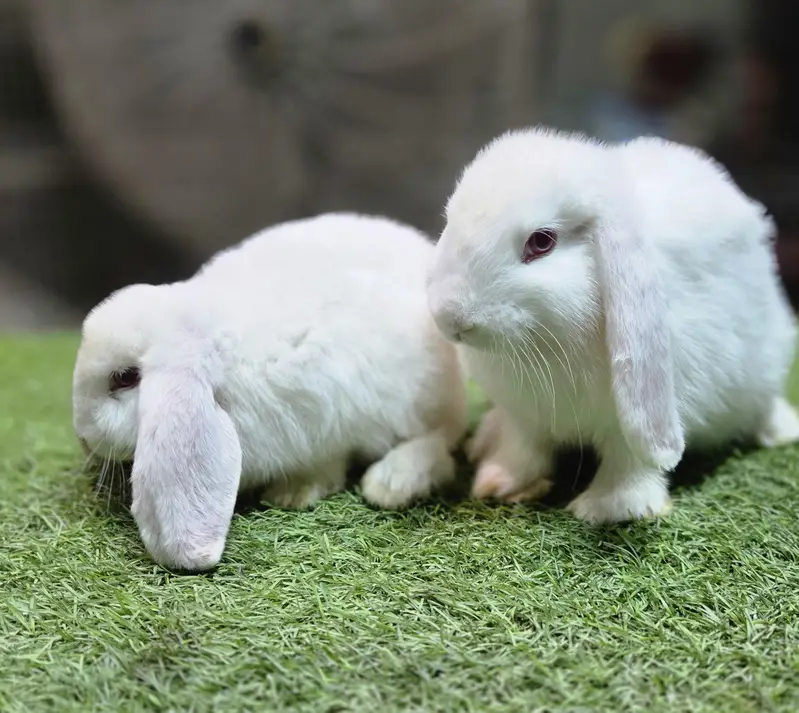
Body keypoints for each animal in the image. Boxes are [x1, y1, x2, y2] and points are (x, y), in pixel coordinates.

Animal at [73, 212, 467, 571]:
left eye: (124, 378)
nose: (83, 439)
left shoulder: (327, 416)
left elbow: (326, 466)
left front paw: (290, 496)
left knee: (442, 442)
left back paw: (391, 483)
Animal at [426, 126, 799, 525]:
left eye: (542, 241)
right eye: (449, 222)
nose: (450, 318)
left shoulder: (631, 422)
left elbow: (630, 463)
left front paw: (609, 508)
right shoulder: (525, 418)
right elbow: (522, 448)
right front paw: (498, 484)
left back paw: (779, 432)